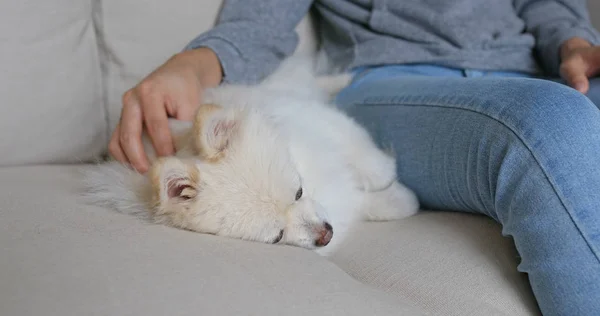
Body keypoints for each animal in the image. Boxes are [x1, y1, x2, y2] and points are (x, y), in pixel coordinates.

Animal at [82, 56, 420, 256]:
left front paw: (386, 175)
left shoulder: (315, 120)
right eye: (277, 236)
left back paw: (344, 80)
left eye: (298, 192)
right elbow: (364, 201)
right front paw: (402, 201)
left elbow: (359, 153)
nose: (326, 235)